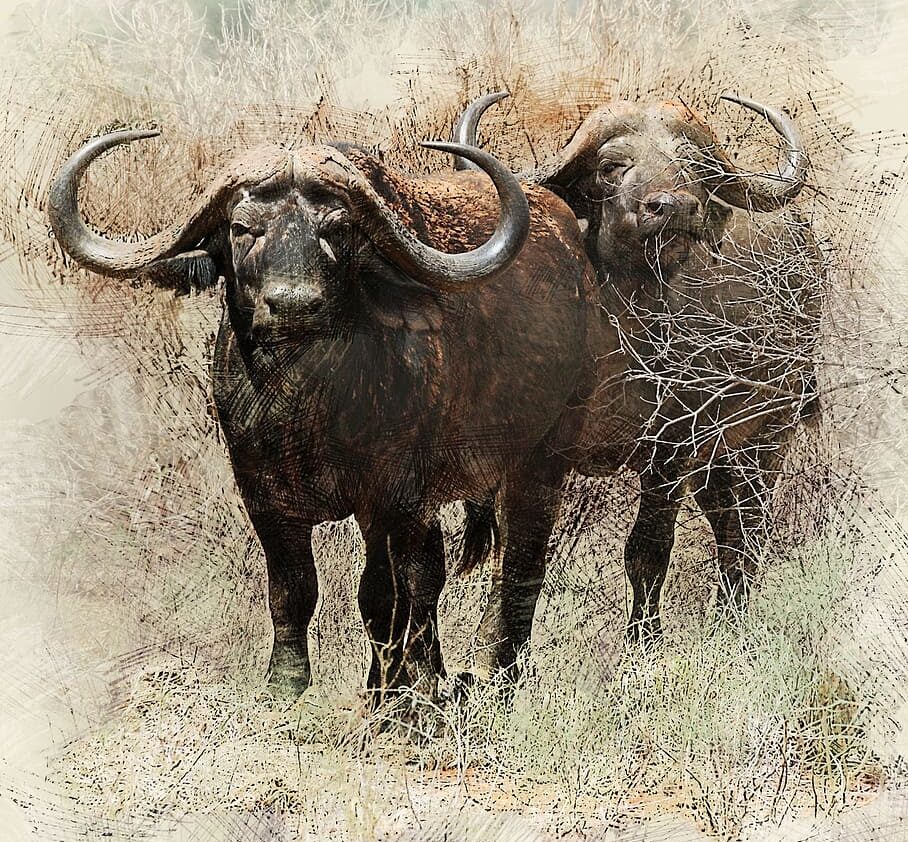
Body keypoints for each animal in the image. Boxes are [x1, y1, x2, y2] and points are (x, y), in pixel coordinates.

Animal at [48, 130, 599, 702]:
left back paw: (491, 669)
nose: (293, 304)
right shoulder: (263, 495)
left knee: (515, 560)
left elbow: (386, 594)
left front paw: (392, 690)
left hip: (541, 459)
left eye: (337, 229)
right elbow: (293, 587)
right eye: (242, 228)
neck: (305, 406)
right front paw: (286, 684)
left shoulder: (390, 496)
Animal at [457, 93, 824, 664]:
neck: (623, 332)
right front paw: (494, 665)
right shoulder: (535, 455)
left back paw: (733, 624)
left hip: (767, 434)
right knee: (727, 521)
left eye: (694, 167)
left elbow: (647, 551)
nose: (673, 208)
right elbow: (518, 566)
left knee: (748, 527)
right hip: (720, 461)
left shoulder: (673, 446)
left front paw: (642, 647)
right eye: (611, 165)